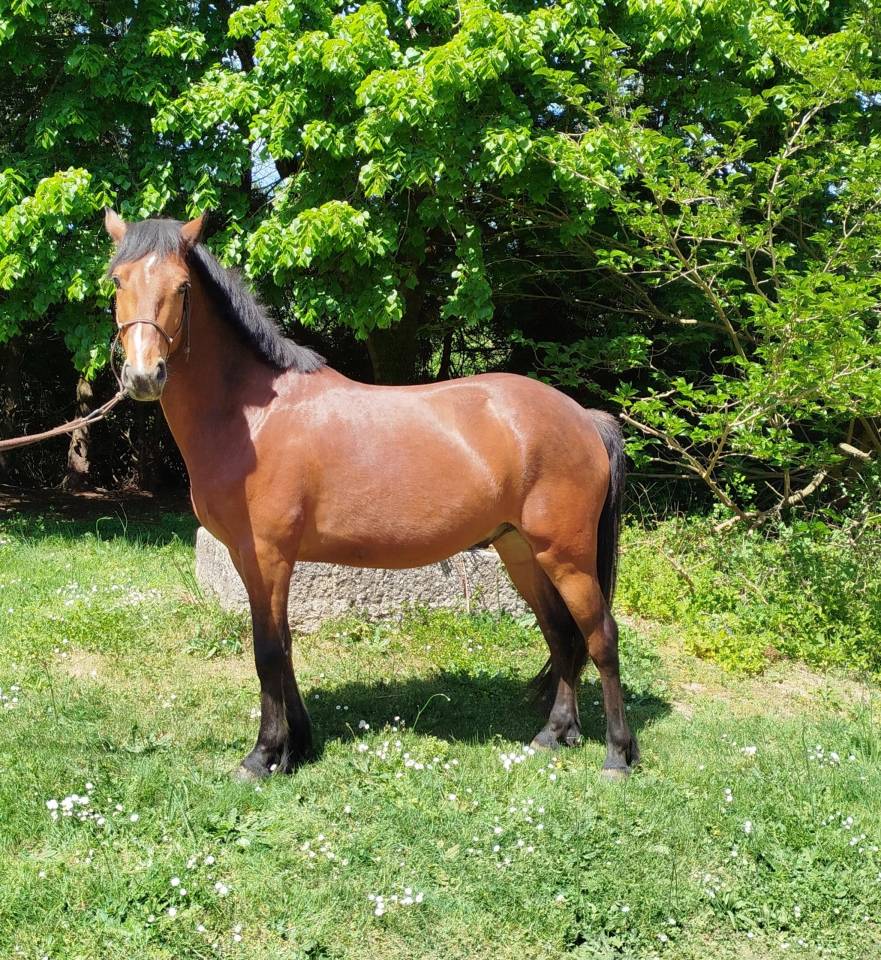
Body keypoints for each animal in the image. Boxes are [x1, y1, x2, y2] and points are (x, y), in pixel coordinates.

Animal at [103, 209, 639, 780]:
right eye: (117, 282)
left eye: (182, 287)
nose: (143, 375)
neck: (251, 417)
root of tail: (583, 416)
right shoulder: (255, 561)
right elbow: (284, 647)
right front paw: (298, 745)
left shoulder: (267, 555)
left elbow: (267, 651)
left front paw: (264, 754)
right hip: (522, 551)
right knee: (562, 635)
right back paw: (554, 734)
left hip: (567, 555)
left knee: (601, 636)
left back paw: (617, 755)